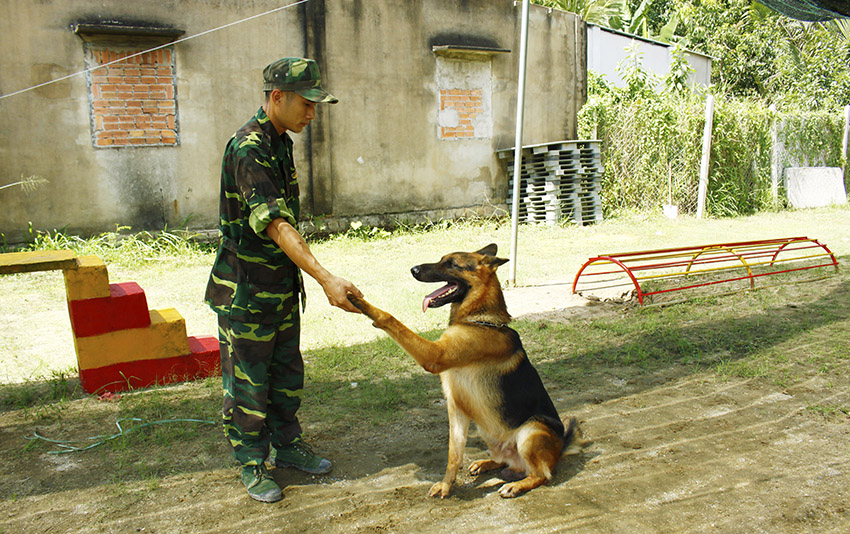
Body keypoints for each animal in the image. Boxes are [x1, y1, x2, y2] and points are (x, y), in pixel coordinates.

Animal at [344, 245, 576, 500]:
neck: (479, 321)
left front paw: (360, 302)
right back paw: (486, 463)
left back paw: (517, 485)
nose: (413, 269)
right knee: (505, 462)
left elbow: (390, 317)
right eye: (441, 259)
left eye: (452, 264)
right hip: (488, 431)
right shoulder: (457, 408)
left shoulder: (434, 356)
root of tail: (560, 448)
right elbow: (453, 454)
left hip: (531, 431)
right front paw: (447, 485)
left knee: (542, 475)